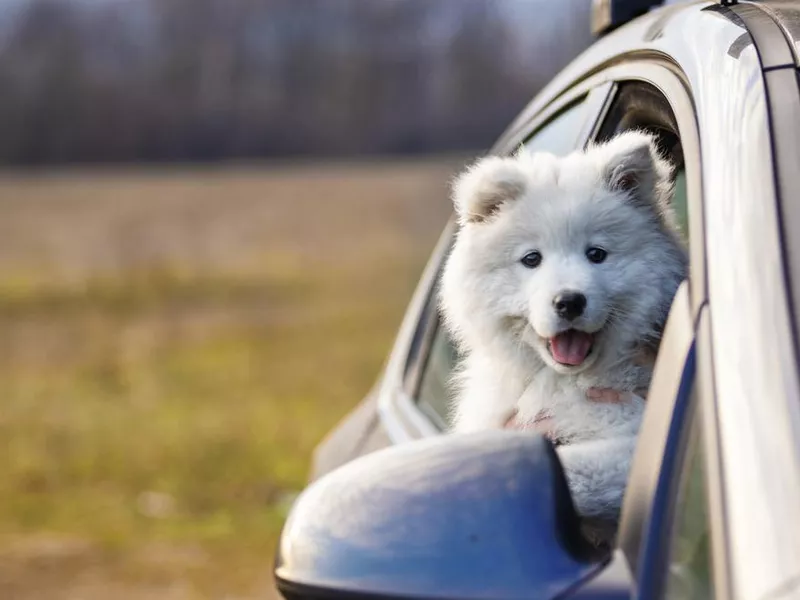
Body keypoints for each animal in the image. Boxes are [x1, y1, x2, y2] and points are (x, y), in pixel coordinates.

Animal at [440, 132, 684, 528]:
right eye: (531, 259)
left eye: (596, 254)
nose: (569, 302)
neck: (564, 381)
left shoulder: (629, 439)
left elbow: (568, 471)